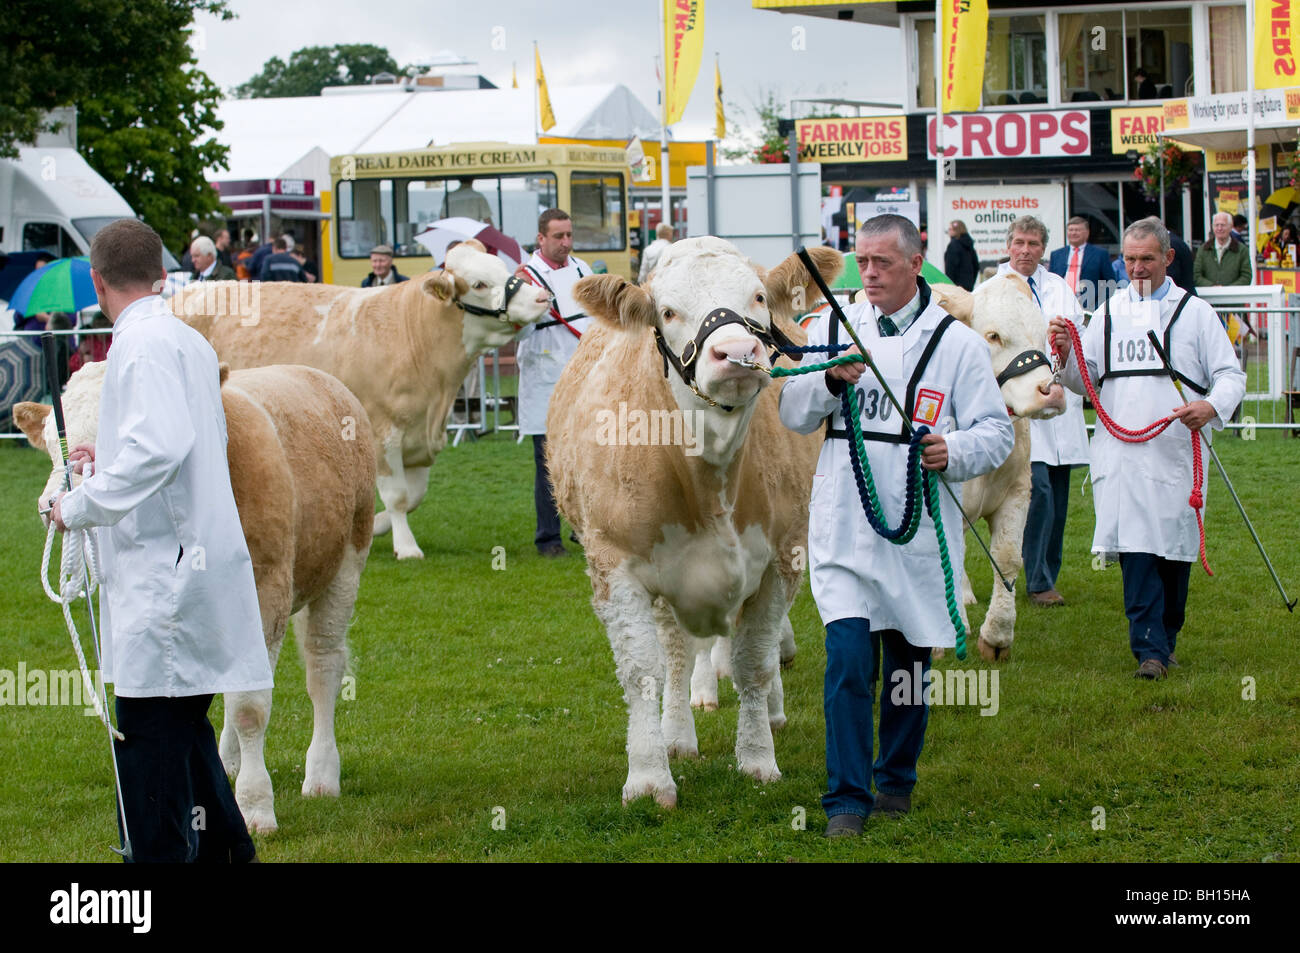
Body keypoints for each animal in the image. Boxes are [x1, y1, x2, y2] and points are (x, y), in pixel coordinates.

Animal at [16, 361, 377, 826]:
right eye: (48, 443)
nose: (53, 504)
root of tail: (317, 375)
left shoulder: (267, 588)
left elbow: (248, 707)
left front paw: (255, 805)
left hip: (346, 564)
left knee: (323, 668)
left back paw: (321, 774)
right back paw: (230, 762)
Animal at [170, 241, 551, 561]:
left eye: (503, 269)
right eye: (480, 285)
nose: (542, 298)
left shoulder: (420, 439)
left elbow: (414, 496)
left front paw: (379, 524)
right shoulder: (382, 432)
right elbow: (399, 495)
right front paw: (406, 547)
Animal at [548, 236, 842, 800]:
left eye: (757, 298)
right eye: (667, 311)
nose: (737, 353)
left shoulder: (781, 558)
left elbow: (754, 662)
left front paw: (757, 758)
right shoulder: (616, 563)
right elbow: (644, 669)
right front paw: (647, 774)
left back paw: (770, 711)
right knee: (679, 651)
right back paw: (679, 730)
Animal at [935, 271, 1066, 657]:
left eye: (1043, 334)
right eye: (993, 335)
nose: (1050, 391)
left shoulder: (1018, 490)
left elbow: (1008, 556)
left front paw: (996, 635)